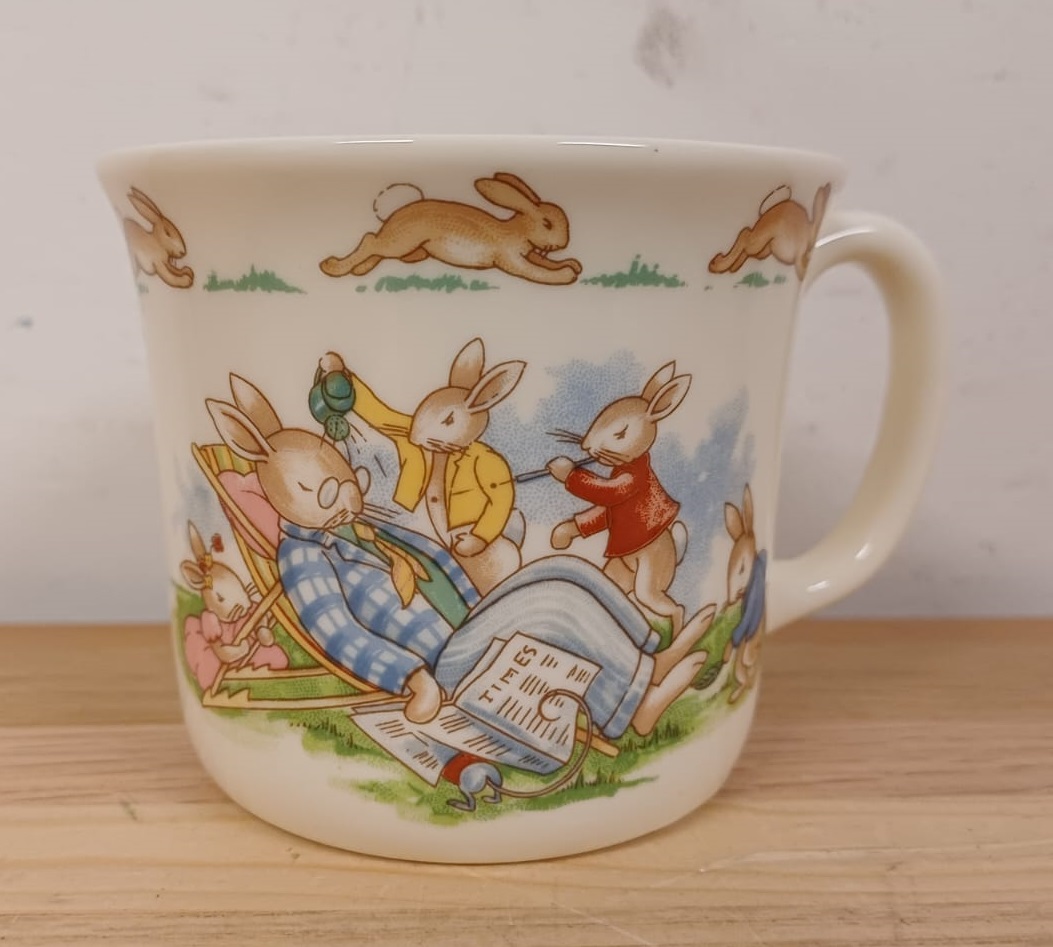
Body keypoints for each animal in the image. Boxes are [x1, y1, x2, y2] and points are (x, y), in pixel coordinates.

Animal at [179, 521, 288, 691]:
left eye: (241, 586)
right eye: (220, 598)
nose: (243, 607)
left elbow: (259, 623)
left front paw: (265, 635)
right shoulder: (210, 622)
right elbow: (221, 650)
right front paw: (243, 647)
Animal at [319, 172, 583, 285]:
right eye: (547, 224)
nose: (563, 243)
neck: (516, 231)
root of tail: (393, 216)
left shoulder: (528, 253)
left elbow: (545, 262)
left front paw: (572, 264)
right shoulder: (512, 260)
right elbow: (536, 272)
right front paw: (565, 275)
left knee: (376, 247)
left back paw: (360, 270)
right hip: (401, 241)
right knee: (369, 240)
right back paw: (333, 267)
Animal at [547, 362, 708, 639]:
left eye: (621, 433)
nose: (586, 447)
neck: (628, 462)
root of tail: (675, 554)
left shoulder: (630, 481)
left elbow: (604, 492)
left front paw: (563, 468)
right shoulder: (610, 508)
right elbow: (599, 514)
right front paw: (561, 534)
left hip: (650, 577)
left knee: (671, 606)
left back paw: (677, 635)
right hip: (619, 571)